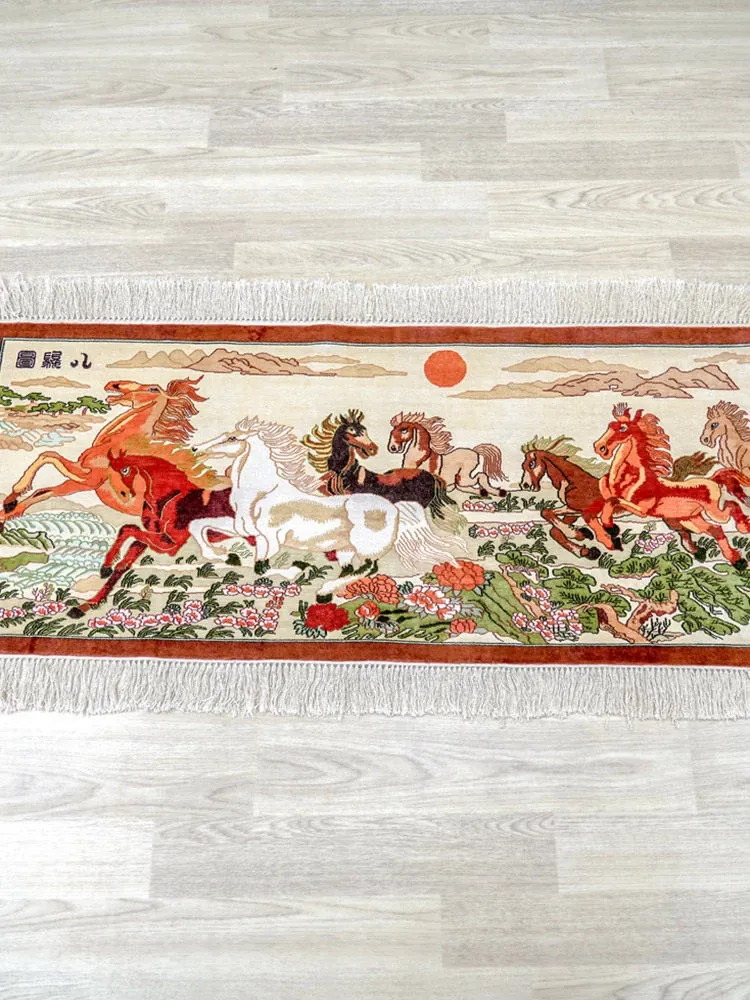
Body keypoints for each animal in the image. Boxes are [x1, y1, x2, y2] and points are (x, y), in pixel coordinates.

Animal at [0, 377, 206, 525]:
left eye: (153, 389)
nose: (113, 384)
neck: (116, 442)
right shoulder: (79, 481)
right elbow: (44, 490)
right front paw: (9, 509)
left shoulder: (90, 479)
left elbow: (49, 456)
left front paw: (11, 500)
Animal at [67, 450, 235, 617]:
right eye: (109, 473)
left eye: (125, 470)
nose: (123, 495)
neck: (169, 497)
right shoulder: (148, 539)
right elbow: (122, 563)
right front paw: (86, 604)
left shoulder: (169, 544)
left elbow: (128, 529)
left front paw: (105, 567)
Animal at [593, 403, 750, 567]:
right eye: (610, 425)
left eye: (622, 428)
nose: (600, 447)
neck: (631, 477)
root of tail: (712, 479)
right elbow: (607, 496)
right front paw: (610, 528)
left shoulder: (642, 510)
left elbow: (613, 501)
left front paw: (611, 528)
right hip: (692, 519)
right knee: (716, 529)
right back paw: (733, 558)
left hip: (713, 512)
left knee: (730, 507)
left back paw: (742, 532)